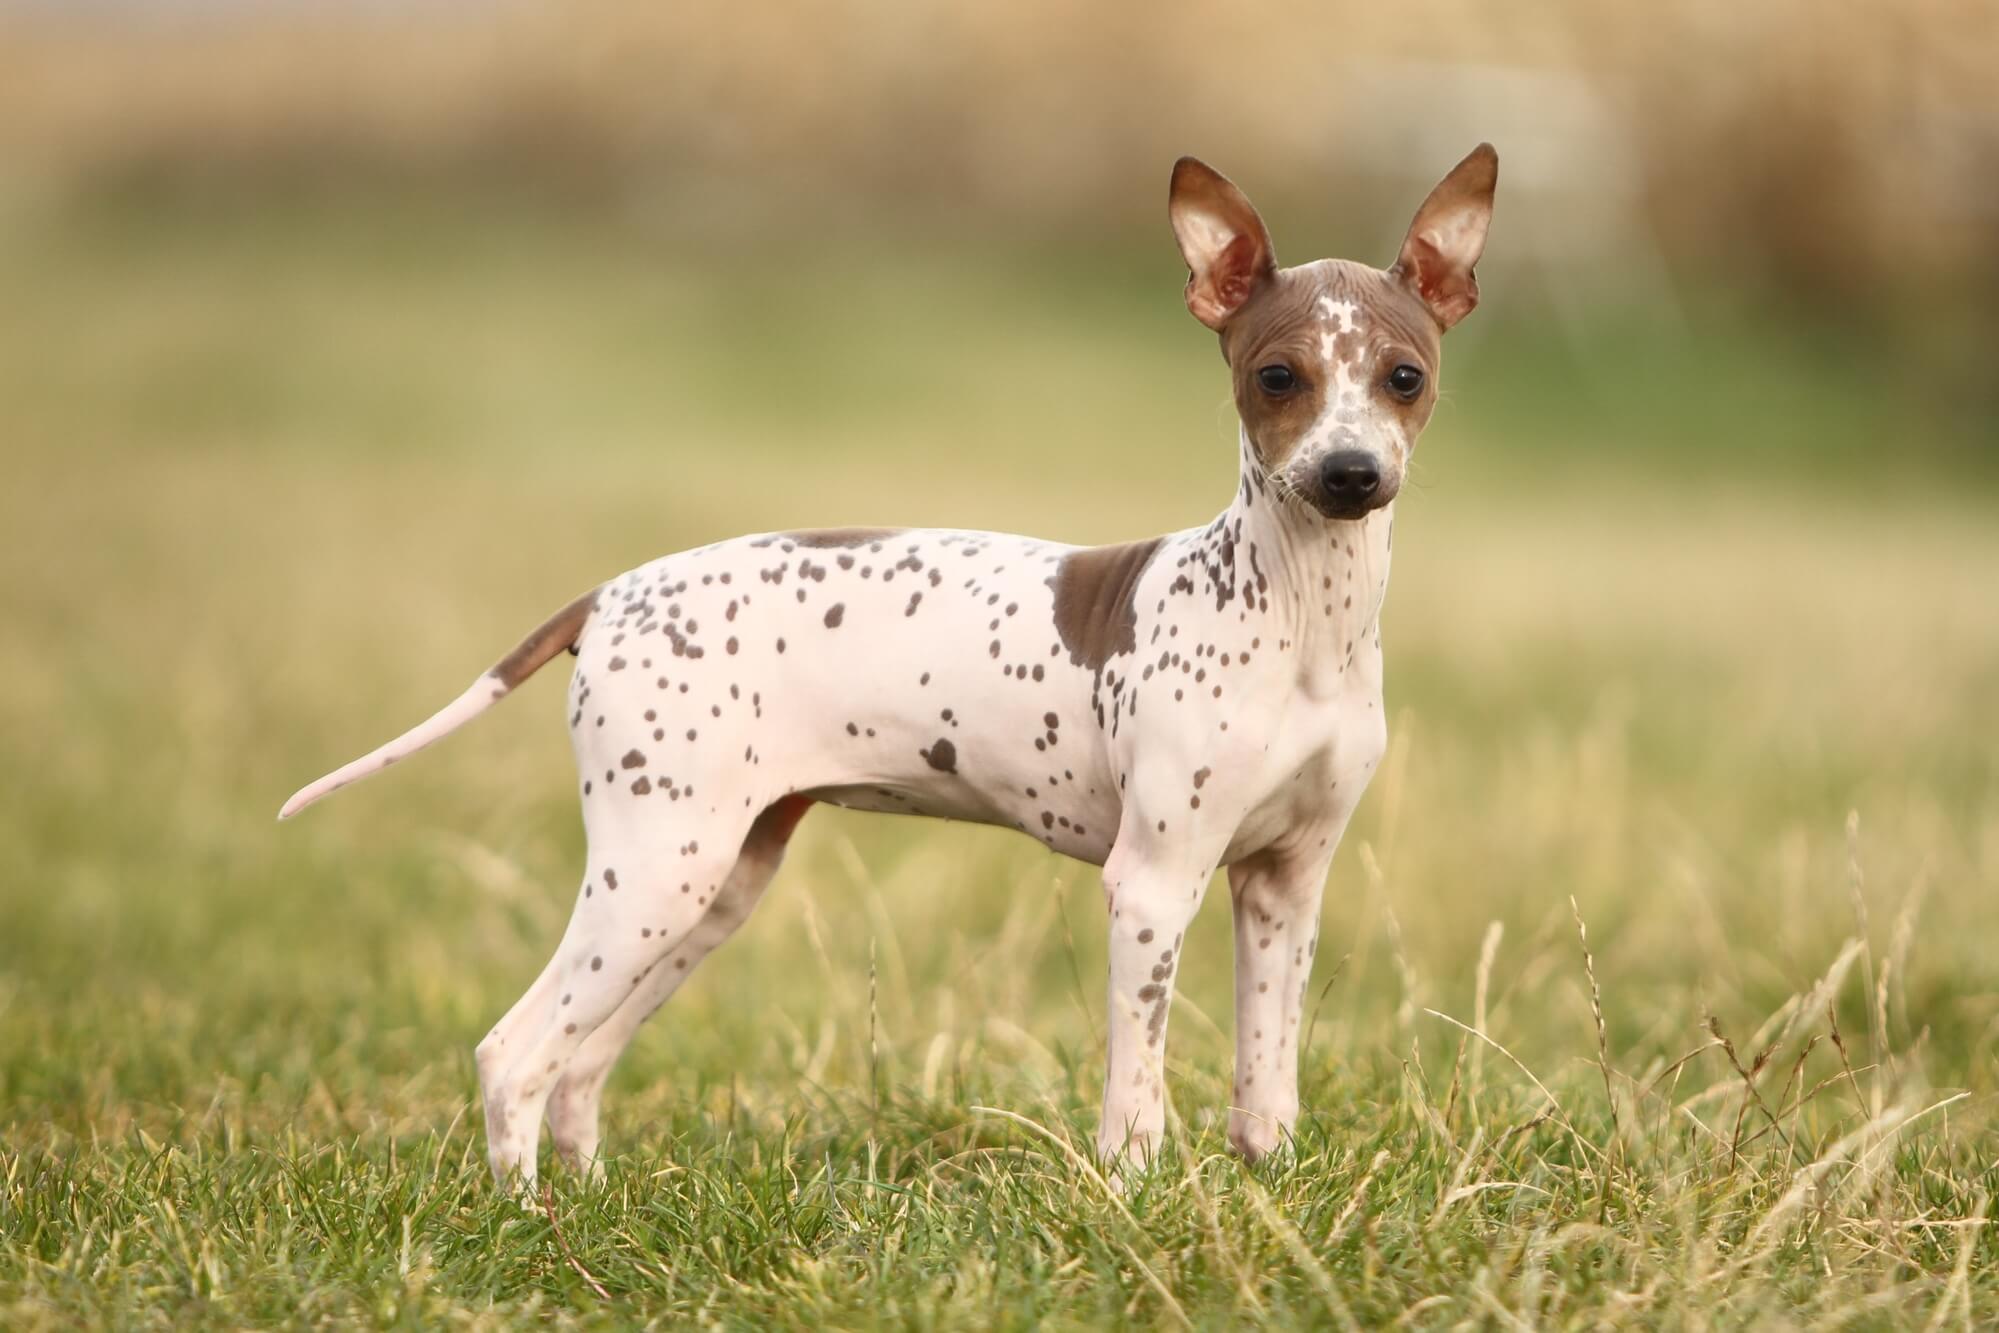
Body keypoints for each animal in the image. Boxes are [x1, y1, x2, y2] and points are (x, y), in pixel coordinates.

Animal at [281, 148, 1503, 1191]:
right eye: (1277, 377)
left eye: (1403, 378)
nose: (1348, 475)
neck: (1297, 618)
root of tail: (610, 595)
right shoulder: (1153, 885)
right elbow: (1138, 1090)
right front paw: (1131, 1193)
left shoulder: (1285, 884)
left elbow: (1267, 1076)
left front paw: (1265, 1183)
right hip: (655, 871)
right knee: (514, 1052)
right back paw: (527, 1221)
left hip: (711, 885)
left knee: (578, 1062)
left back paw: (581, 1203)